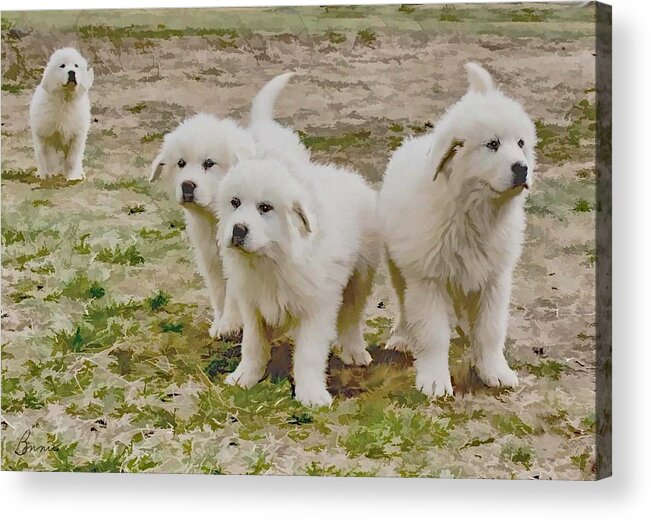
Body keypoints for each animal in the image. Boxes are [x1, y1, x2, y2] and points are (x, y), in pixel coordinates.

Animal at [29, 47, 94, 181]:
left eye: (76, 66)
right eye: (62, 66)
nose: (72, 72)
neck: (65, 99)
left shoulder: (77, 135)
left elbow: (73, 158)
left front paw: (72, 177)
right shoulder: (47, 135)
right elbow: (49, 157)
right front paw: (50, 174)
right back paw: (41, 173)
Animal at [150, 74, 308, 342]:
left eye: (209, 163)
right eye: (180, 163)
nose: (187, 185)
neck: (215, 217)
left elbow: (234, 291)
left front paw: (230, 324)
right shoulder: (209, 256)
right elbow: (218, 290)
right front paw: (220, 322)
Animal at [215, 156, 376, 408]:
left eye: (265, 208)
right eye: (235, 202)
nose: (238, 230)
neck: (270, 261)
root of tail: (347, 175)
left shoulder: (316, 308)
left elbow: (308, 354)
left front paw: (311, 394)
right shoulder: (251, 306)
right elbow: (252, 344)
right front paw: (244, 376)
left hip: (360, 278)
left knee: (351, 317)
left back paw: (354, 352)